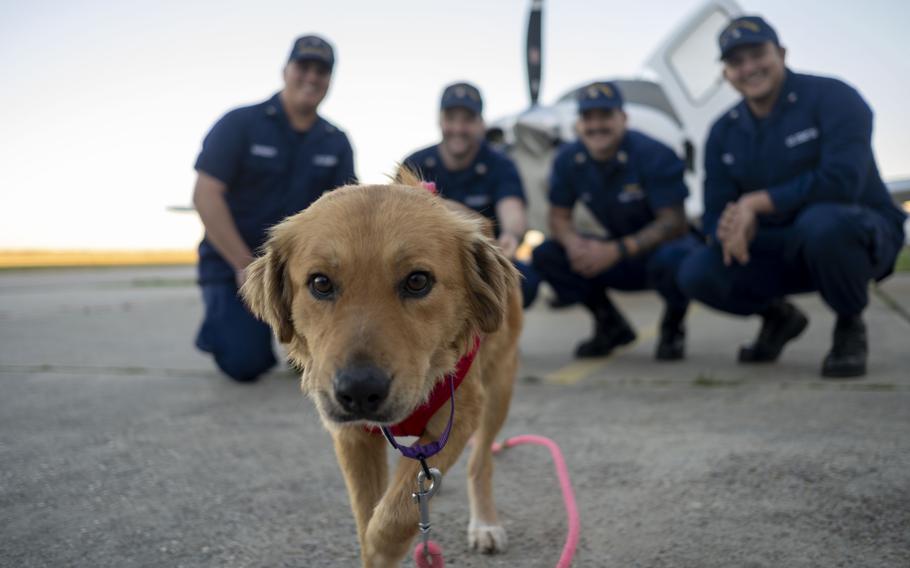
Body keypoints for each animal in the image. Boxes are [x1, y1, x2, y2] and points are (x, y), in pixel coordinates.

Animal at [242, 175, 524, 564]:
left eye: (418, 281)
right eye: (320, 283)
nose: (358, 392)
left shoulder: (460, 414)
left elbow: (394, 516)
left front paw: (384, 544)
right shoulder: (352, 436)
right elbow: (369, 514)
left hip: (500, 388)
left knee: (480, 463)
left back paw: (485, 524)